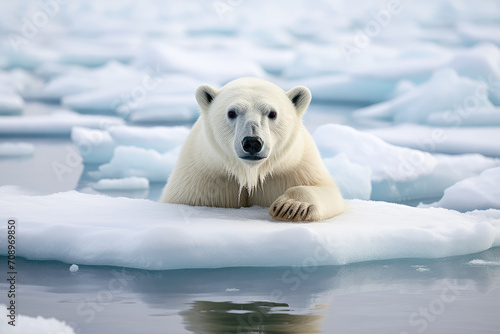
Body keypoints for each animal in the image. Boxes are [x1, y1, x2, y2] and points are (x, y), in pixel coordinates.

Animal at [161, 77, 348, 220]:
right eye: (231, 112)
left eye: (272, 113)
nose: (252, 142)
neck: (250, 173)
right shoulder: (202, 179)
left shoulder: (296, 166)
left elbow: (329, 192)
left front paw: (290, 206)